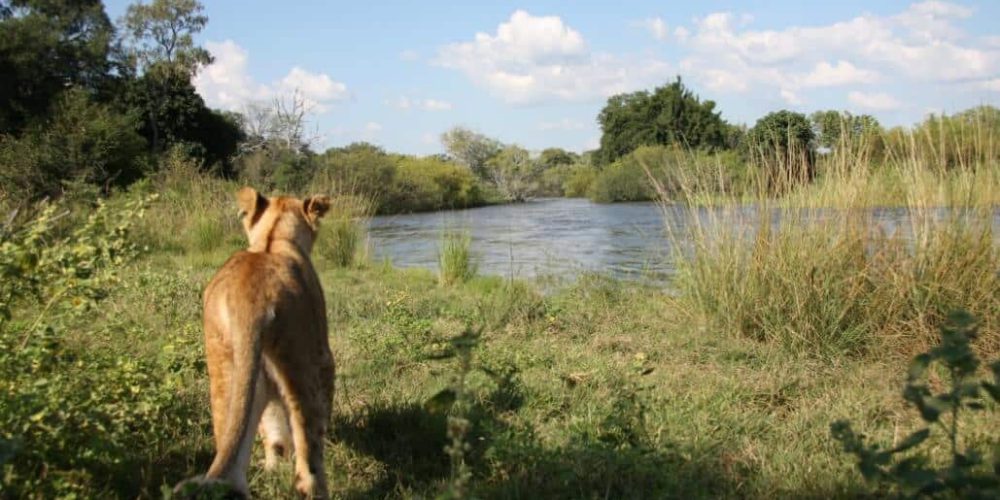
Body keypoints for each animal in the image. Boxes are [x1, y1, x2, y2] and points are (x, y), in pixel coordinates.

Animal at [178, 188, 334, 500]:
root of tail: (249, 299)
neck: (274, 238)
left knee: (237, 445)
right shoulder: (324, 356)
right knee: (307, 464)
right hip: (301, 366)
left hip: (226, 372)